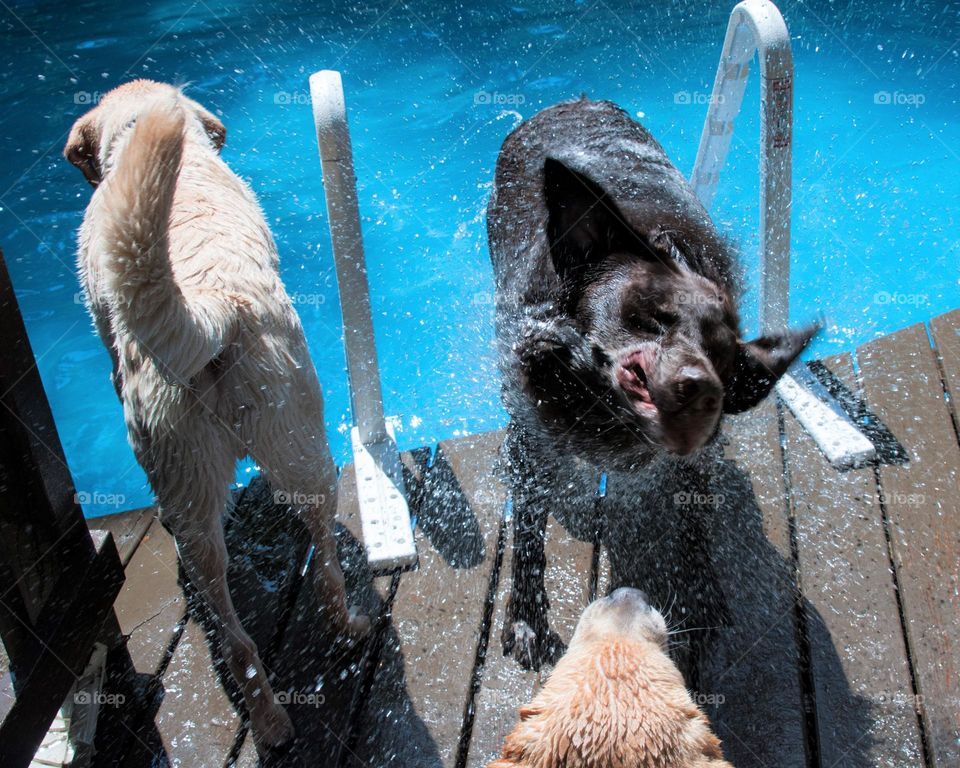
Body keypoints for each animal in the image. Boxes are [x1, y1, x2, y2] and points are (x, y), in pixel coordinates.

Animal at [492, 100, 812, 664]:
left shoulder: (691, 460)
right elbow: (529, 531)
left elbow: (693, 526)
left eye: (722, 353)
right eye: (653, 315)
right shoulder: (530, 439)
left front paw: (700, 594)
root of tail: (573, 100)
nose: (703, 389)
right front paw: (528, 617)